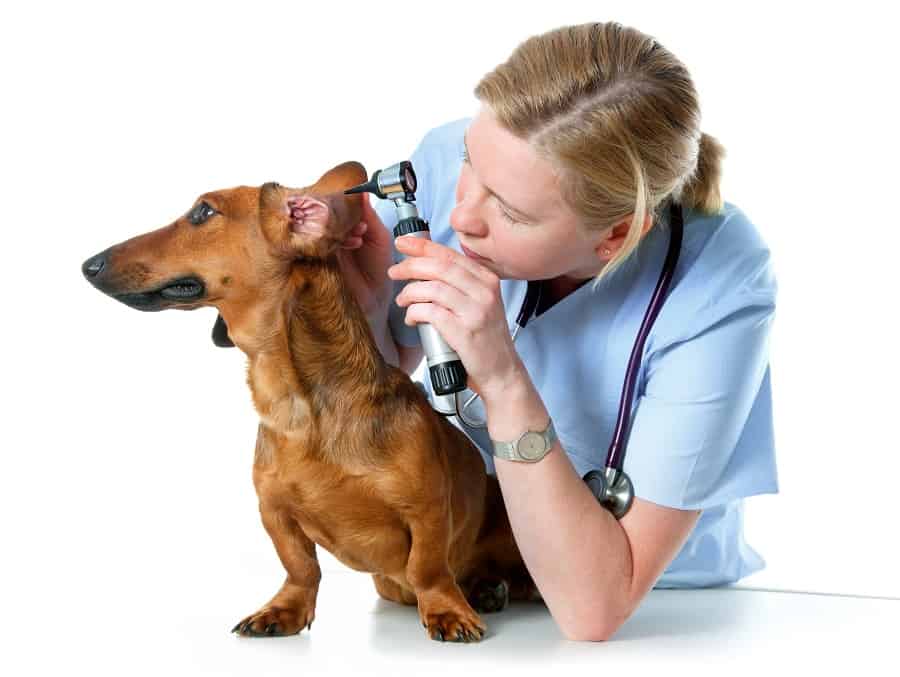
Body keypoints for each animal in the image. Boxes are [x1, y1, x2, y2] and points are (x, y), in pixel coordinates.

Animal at [81, 161, 536, 640]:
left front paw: (446, 610)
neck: (301, 409)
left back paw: (492, 588)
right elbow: (300, 568)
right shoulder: (273, 511)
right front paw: (284, 610)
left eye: (203, 212)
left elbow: (428, 568)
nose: (88, 265)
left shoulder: (427, 508)